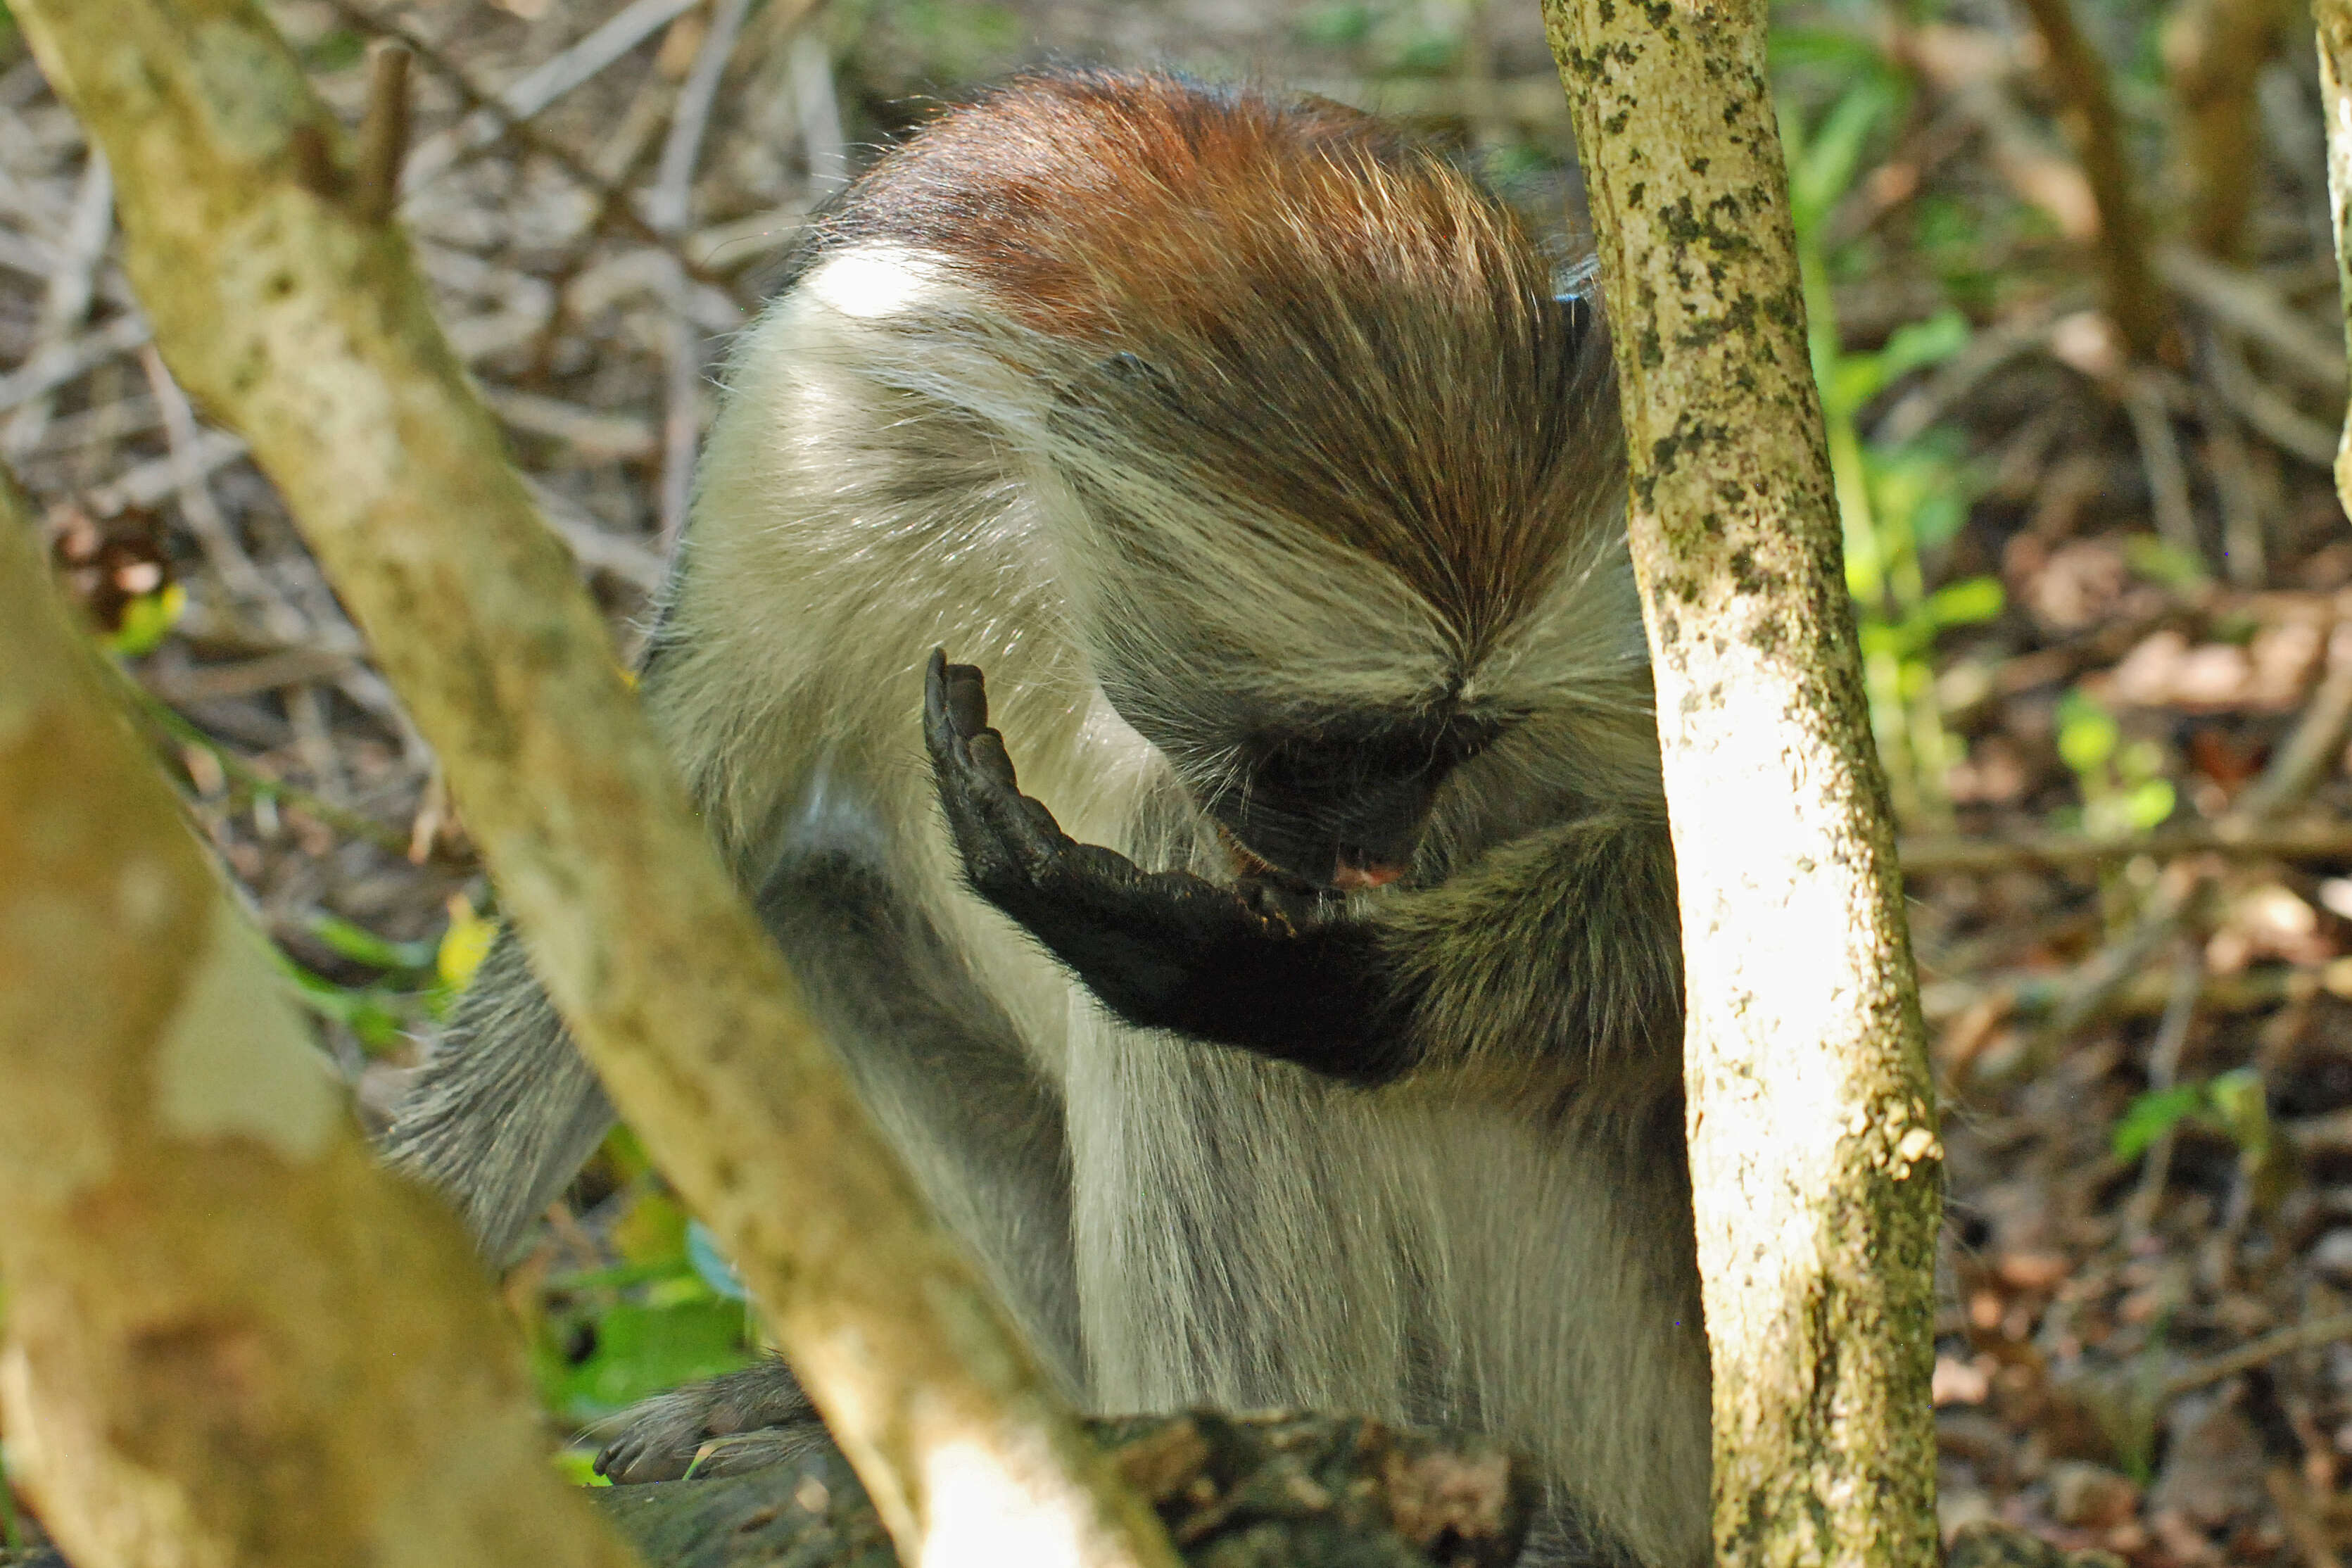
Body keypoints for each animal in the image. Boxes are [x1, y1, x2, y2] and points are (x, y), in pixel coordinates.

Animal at [390, 70, 1712, 1568]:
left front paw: (1292, 980)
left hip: (1601, 1380)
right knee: (801, 906)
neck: (1048, 532)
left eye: (1453, 746)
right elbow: (643, 873)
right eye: (1332, 752)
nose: (1369, 853)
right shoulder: (820, 408)